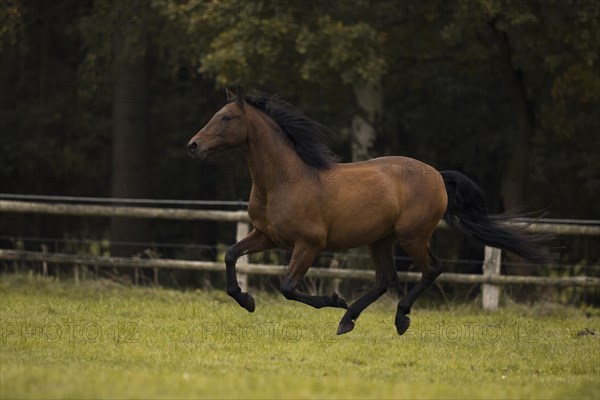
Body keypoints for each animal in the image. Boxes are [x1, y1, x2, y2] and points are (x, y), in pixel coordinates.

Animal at [188, 88, 552, 338]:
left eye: (226, 117)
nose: (193, 145)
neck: (284, 180)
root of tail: (437, 174)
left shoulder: (308, 245)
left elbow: (288, 287)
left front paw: (334, 299)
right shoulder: (266, 236)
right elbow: (230, 255)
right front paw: (246, 299)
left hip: (412, 235)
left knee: (431, 269)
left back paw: (397, 318)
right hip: (380, 240)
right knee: (387, 278)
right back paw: (348, 320)